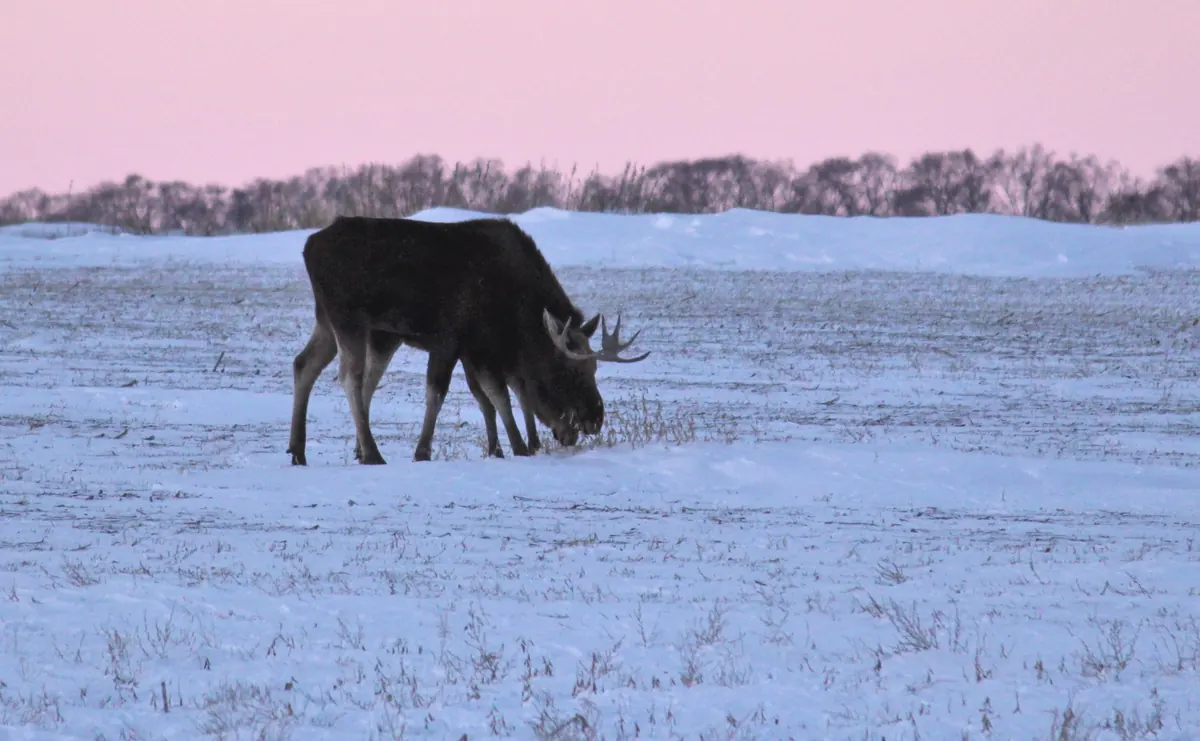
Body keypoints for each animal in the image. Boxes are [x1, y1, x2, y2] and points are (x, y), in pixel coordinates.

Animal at [286, 214, 650, 465]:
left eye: (594, 370)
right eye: (569, 371)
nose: (594, 419)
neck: (514, 310)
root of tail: (308, 247)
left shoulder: (480, 348)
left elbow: (497, 395)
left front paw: (516, 446)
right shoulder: (452, 339)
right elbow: (447, 394)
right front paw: (423, 451)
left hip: (335, 322)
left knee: (305, 364)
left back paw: (300, 450)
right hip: (348, 318)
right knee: (350, 377)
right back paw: (372, 453)